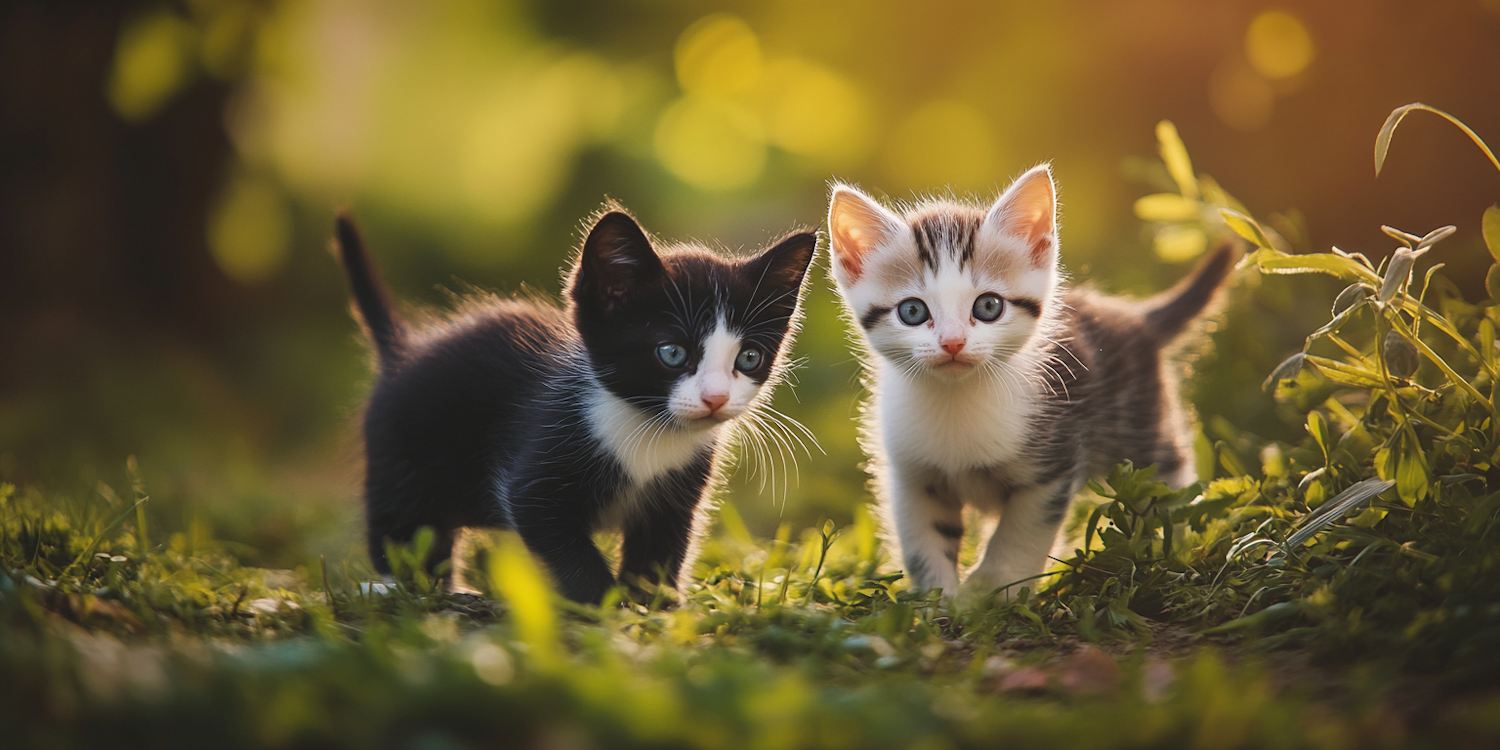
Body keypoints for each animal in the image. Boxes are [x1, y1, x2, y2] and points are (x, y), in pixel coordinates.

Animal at [334, 210, 816, 603]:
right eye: (672, 353)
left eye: (748, 358)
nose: (715, 398)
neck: (648, 429)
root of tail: (404, 352)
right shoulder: (538, 469)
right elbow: (564, 545)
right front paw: (606, 606)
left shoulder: (678, 494)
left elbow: (660, 550)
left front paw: (654, 605)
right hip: (403, 457)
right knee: (403, 531)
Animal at [828, 165, 1236, 603]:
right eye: (913, 312)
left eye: (988, 306)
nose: (953, 342)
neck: (956, 399)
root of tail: (1135, 318)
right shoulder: (912, 476)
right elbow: (925, 540)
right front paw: (939, 601)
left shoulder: (1053, 461)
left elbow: (1021, 533)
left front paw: (994, 589)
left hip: (1137, 424)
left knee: (1167, 473)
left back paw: (1175, 544)